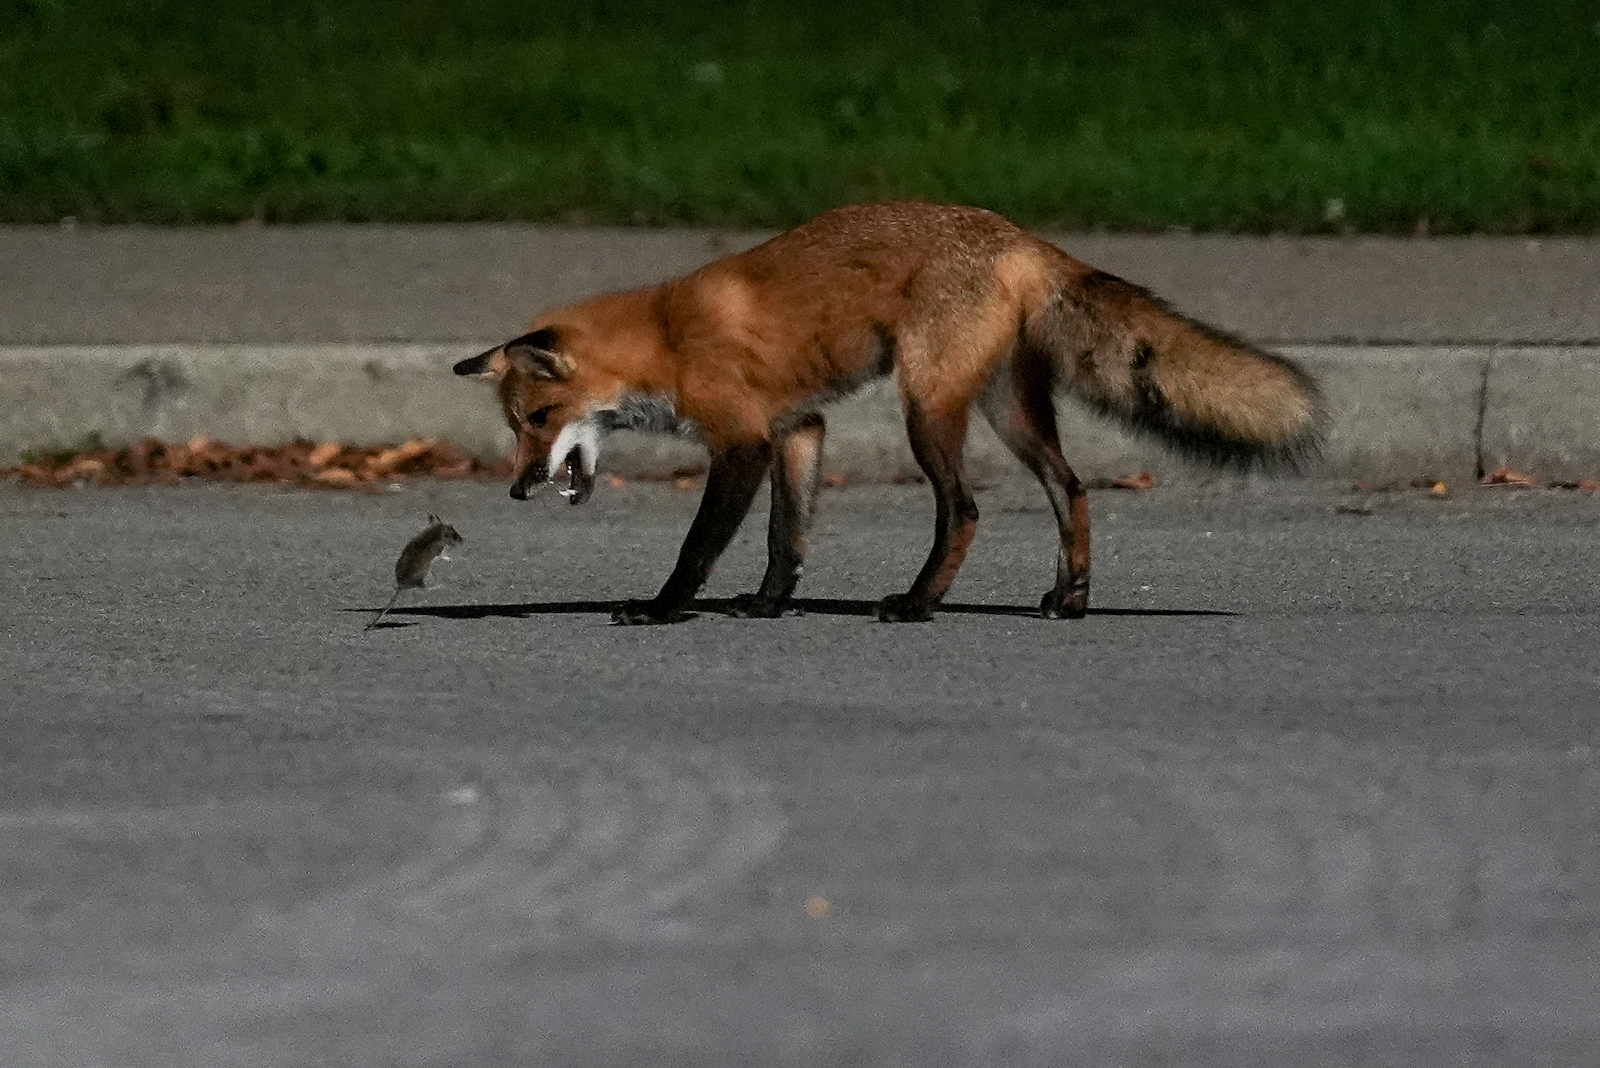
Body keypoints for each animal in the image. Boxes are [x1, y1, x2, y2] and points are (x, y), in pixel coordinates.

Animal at [454, 198, 1324, 626]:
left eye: (536, 419)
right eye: (515, 427)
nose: (518, 490)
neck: (665, 337)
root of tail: (1019, 236)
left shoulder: (742, 441)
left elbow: (698, 548)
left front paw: (664, 610)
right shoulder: (798, 429)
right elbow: (786, 538)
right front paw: (767, 606)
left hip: (927, 409)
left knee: (964, 510)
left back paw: (917, 605)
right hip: (1009, 412)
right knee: (1071, 489)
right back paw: (1070, 601)